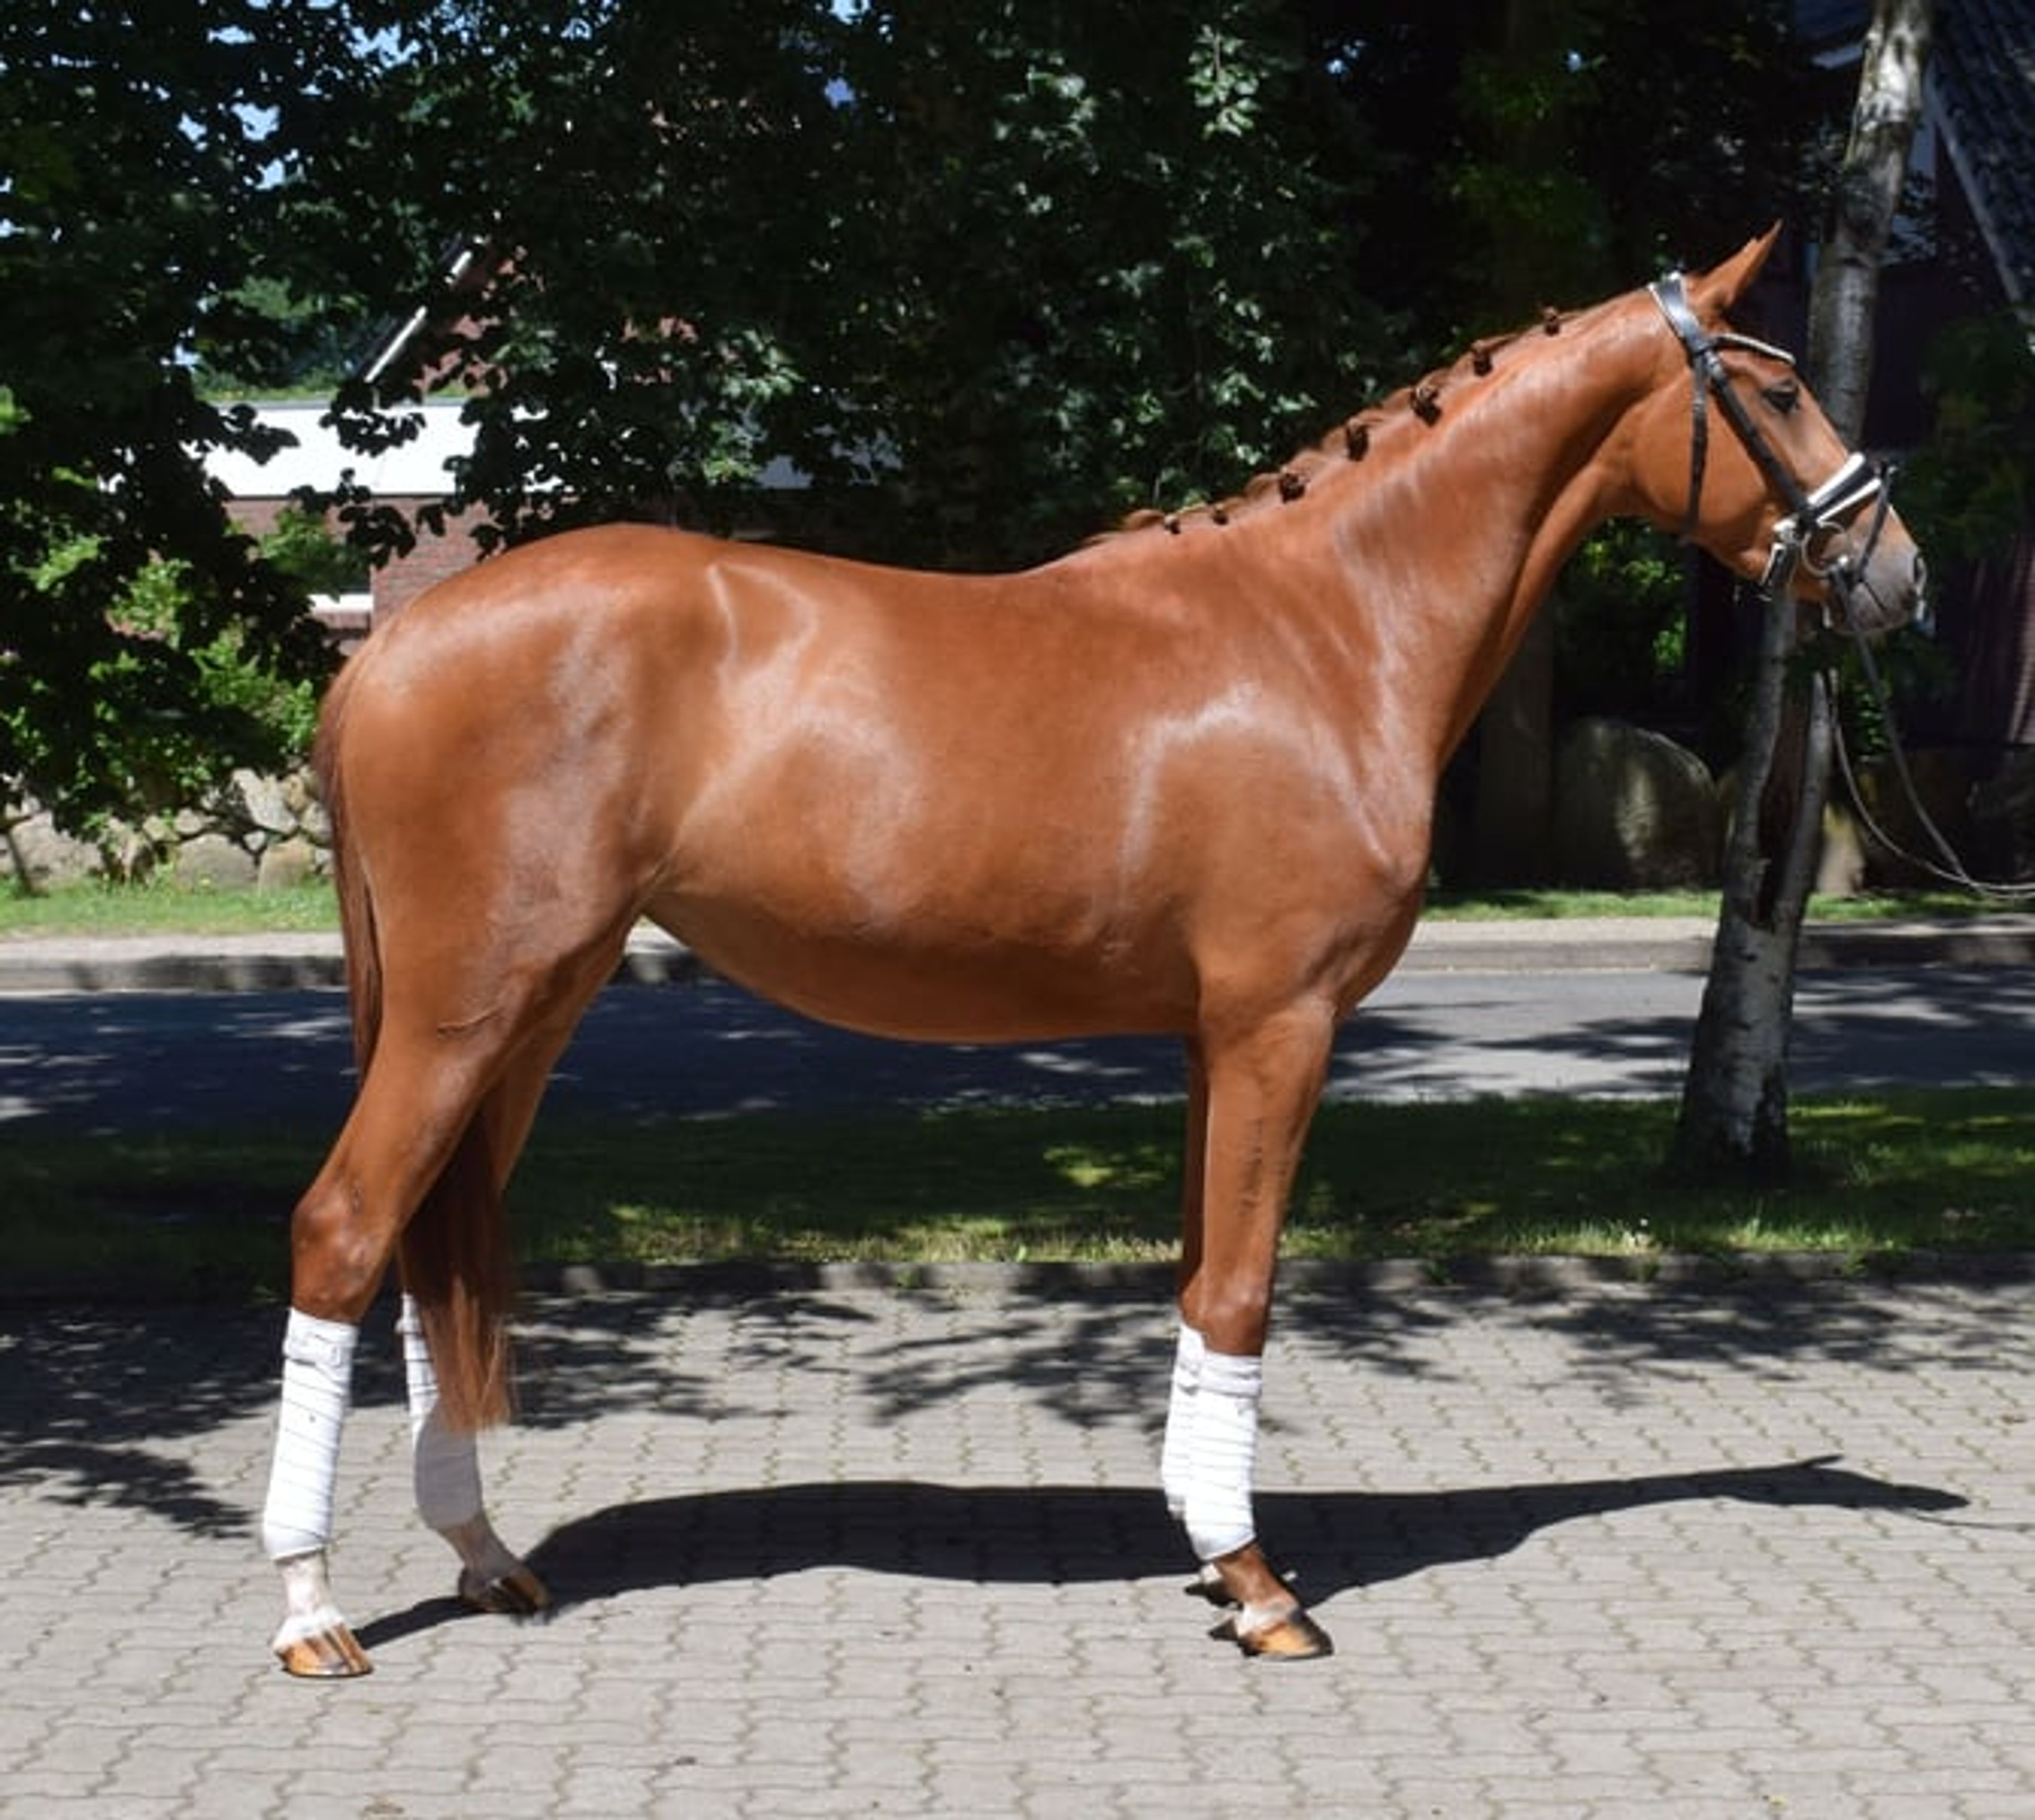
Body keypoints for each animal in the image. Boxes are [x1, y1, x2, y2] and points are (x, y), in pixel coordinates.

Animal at [261, 229, 1924, 1675]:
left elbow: (1196, 1282)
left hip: (531, 1009)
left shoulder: (1207, 1038)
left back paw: (484, 1558)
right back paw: (311, 1610)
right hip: (466, 1013)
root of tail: (390, 649)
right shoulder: (1279, 1025)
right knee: (344, 1230)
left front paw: (1207, 1544)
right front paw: (1259, 1589)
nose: (1895, 573)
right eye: (1779, 388)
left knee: (428, 1253)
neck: (1326, 627)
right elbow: (1242, 1292)